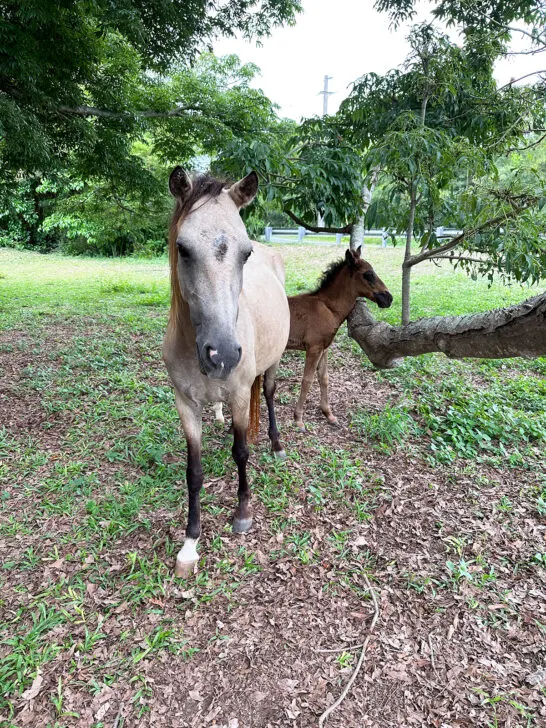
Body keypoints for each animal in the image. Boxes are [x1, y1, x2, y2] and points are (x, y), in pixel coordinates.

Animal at [162, 168, 288, 576]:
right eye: (183, 248)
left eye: (245, 253)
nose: (223, 354)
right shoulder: (185, 404)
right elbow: (194, 471)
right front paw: (190, 542)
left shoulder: (238, 393)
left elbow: (241, 452)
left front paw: (243, 513)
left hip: (272, 363)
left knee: (268, 394)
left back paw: (276, 443)